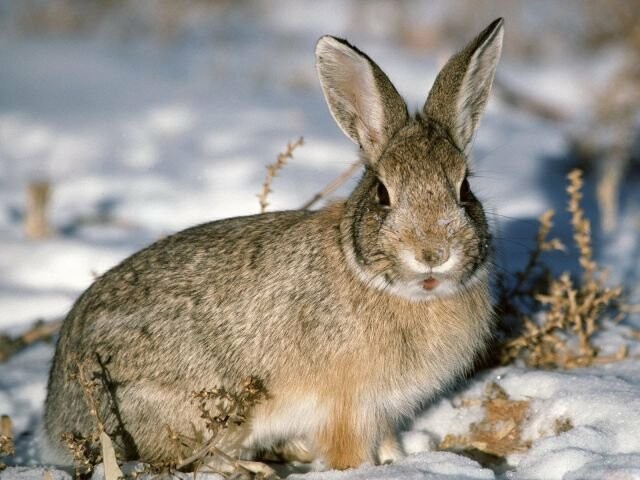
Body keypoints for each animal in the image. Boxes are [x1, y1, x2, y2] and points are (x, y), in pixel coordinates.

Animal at [43, 17, 504, 472]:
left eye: (464, 190)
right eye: (382, 194)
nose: (433, 254)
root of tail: (57, 415)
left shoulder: (384, 410)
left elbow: (388, 442)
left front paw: (399, 461)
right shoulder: (347, 408)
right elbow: (349, 454)